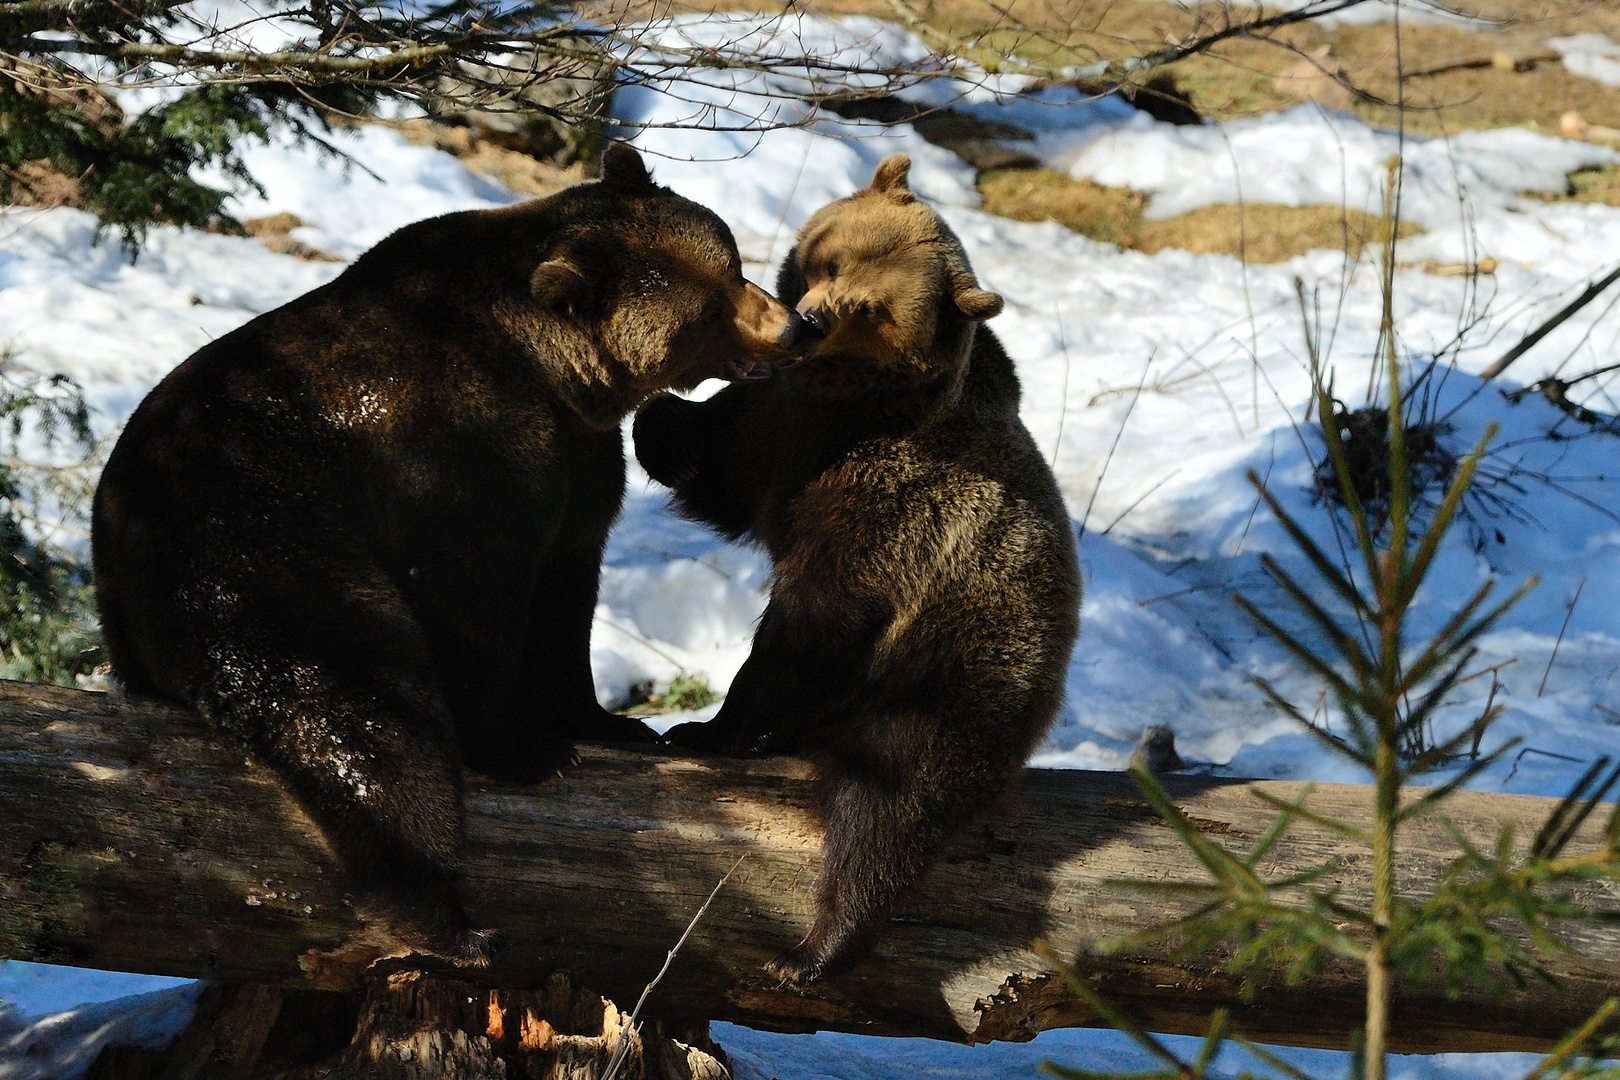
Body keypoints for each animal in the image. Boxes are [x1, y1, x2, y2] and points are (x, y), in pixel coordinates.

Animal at [628, 153, 1075, 990]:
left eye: (870, 306)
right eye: (830, 256)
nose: (809, 320)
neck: (844, 400)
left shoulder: (890, 508)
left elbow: (809, 625)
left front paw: (708, 725)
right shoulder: (780, 428)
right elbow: (721, 463)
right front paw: (666, 428)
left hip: (949, 681)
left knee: (888, 808)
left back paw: (815, 949)